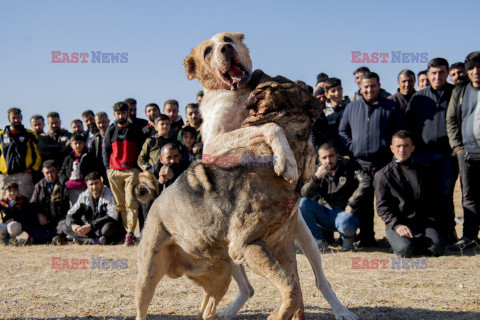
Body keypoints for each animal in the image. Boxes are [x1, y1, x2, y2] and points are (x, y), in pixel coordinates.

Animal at [135, 80, 318, 320]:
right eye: (298, 86)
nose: (314, 90)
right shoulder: (247, 245)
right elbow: (292, 289)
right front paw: (277, 315)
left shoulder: (285, 250)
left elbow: (297, 294)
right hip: (148, 276)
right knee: (144, 308)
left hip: (221, 277)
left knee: (206, 310)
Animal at [186, 30, 358, 320]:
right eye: (208, 51)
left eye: (228, 39)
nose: (225, 49)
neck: (238, 98)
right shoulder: (214, 145)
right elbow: (268, 128)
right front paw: (285, 159)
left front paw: (300, 160)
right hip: (228, 250)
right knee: (247, 288)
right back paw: (227, 311)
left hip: (306, 240)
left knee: (320, 281)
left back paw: (341, 309)